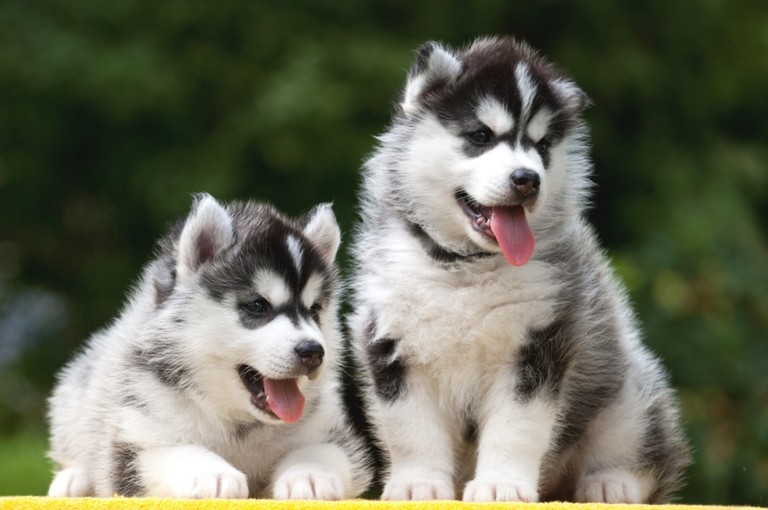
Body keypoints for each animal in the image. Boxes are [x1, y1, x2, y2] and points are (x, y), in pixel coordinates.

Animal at [48, 192, 372, 498]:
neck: (237, 425)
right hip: (78, 394)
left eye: (314, 310)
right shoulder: (134, 441)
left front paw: (310, 474)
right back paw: (73, 479)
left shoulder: (333, 435)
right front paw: (211, 474)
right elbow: (177, 450)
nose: (313, 352)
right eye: (257, 306)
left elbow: (318, 451)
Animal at [348, 36, 688, 506]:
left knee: (647, 456)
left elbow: (517, 428)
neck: (465, 268)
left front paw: (501, 485)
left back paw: (612, 483)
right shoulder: (391, 344)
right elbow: (409, 427)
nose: (528, 179)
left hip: (629, 391)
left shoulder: (538, 344)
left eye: (541, 146)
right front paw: (418, 484)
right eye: (480, 136)